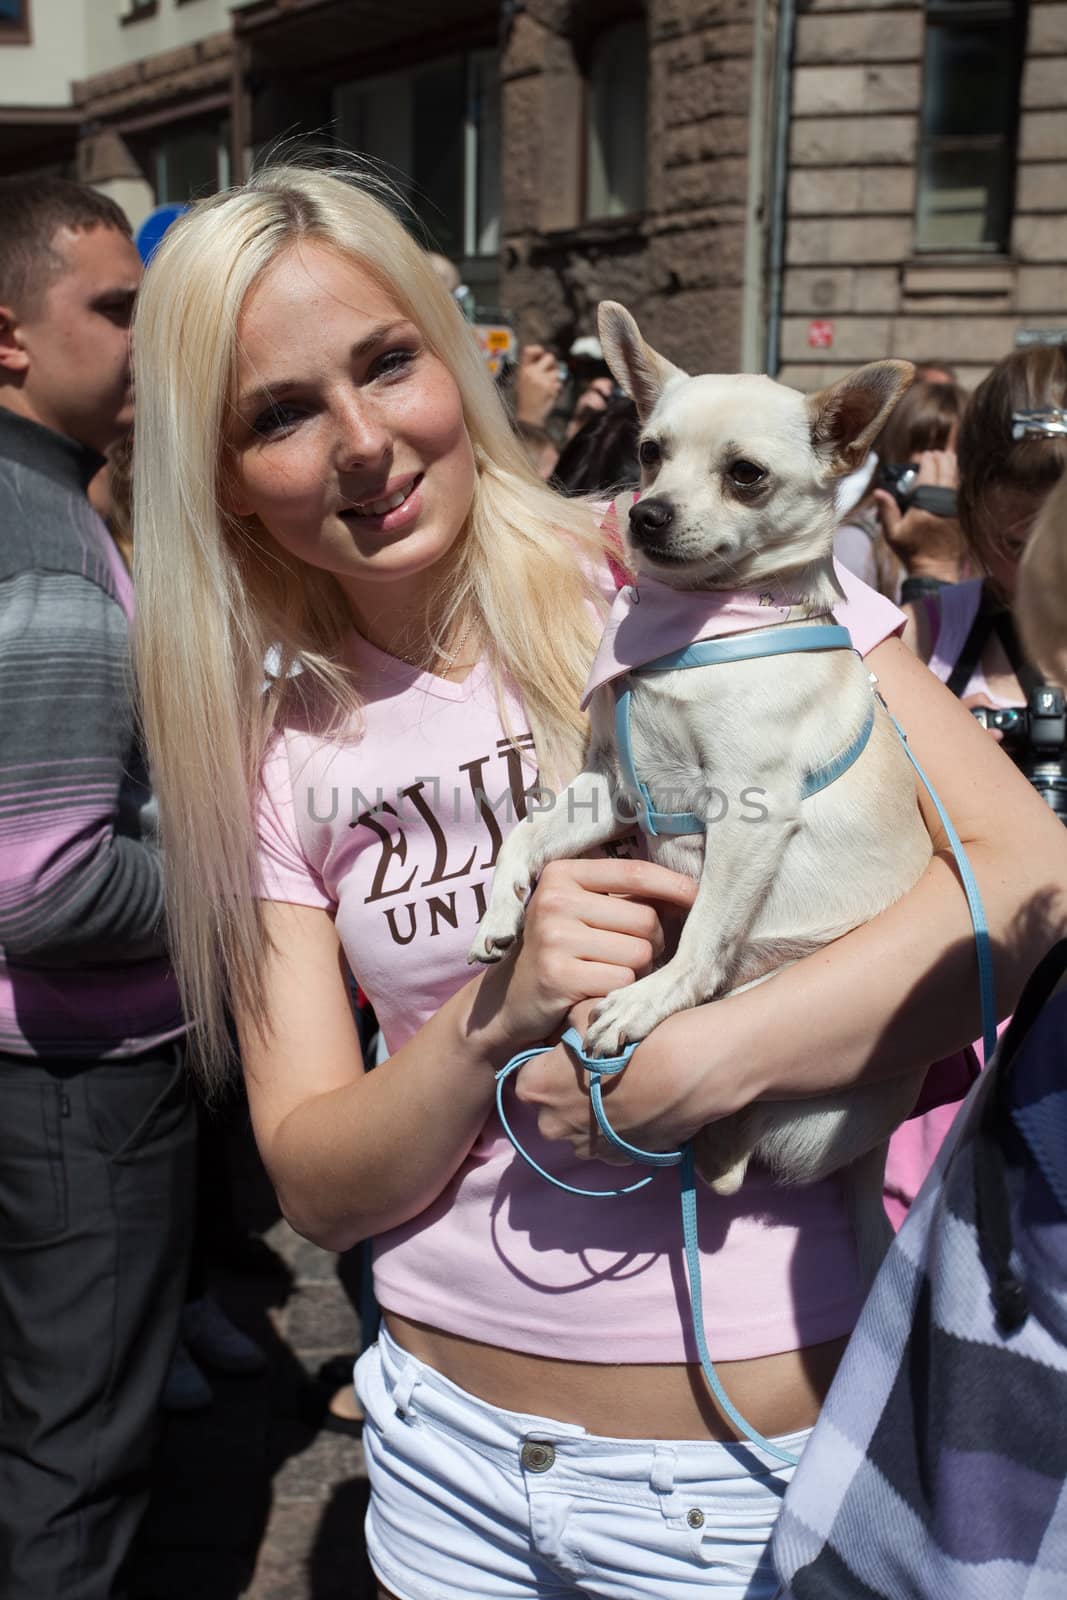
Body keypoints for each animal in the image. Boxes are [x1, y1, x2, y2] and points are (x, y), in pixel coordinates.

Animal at [473, 297, 934, 1273]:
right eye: (648, 452)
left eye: (746, 476)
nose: (646, 513)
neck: (696, 629)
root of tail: (875, 1153)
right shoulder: (612, 790)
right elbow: (524, 834)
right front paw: (502, 910)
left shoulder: (748, 816)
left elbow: (702, 939)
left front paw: (649, 1000)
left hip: (788, 1027)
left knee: (728, 1143)